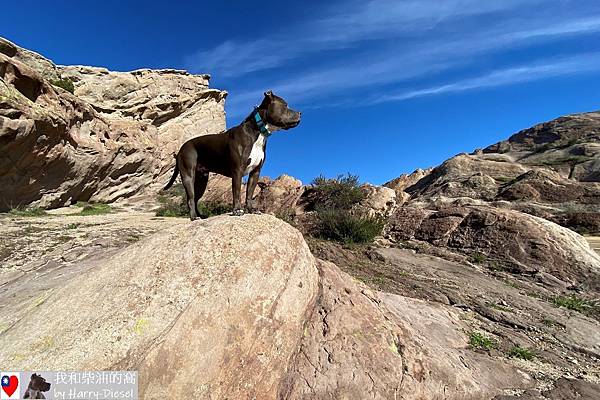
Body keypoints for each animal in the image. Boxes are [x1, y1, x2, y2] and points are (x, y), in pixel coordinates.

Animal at [163, 90, 300, 220]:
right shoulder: (237, 171)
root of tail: (181, 149)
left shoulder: (255, 172)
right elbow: (237, 192)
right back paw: (193, 217)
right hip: (188, 175)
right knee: (190, 198)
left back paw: (200, 216)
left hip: (202, 179)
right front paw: (237, 210)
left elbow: (249, 193)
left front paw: (251, 210)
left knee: (196, 198)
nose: (300, 113)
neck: (258, 132)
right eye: (285, 105)